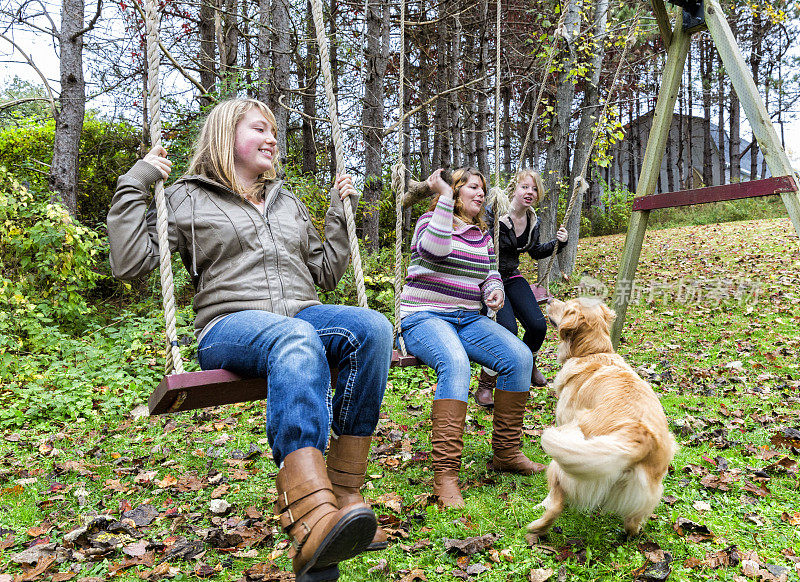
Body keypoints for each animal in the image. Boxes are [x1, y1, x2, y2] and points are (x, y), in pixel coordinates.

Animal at [528, 298, 680, 540]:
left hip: (565, 460)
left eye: (566, 306)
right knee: (633, 524)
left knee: (556, 504)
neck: (592, 351)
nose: (549, 299)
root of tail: (640, 437)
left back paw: (537, 526)